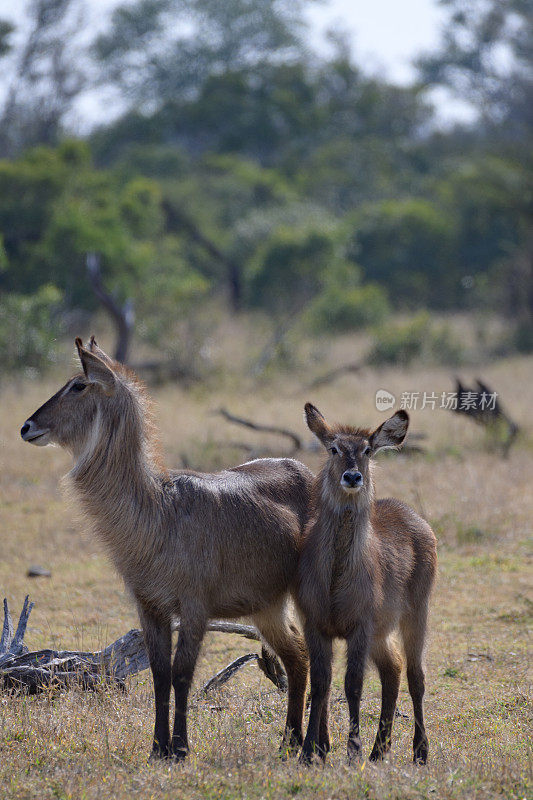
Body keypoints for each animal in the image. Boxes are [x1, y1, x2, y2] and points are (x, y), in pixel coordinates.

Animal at [19, 338, 312, 764]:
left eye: (78, 385)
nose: (26, 426)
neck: (159, 509)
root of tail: (302, 468)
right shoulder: (149, 606)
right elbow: (159, 674)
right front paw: (157, 748)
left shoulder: (194, 607)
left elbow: (182, 674)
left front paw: (181, 747)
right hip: (266, 605)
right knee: (297, 657)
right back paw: (288, 743)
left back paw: (303, 744)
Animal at [296, 404, 436, 764]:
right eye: (334, 448)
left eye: (367, 450)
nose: (352, 477)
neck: (335, 577)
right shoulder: (315, 624)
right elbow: (321, 683)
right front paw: (312, 750)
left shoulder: (360, 625)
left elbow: (353, 685)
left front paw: (352, 750)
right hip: (381, 631)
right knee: (393, 669)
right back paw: (379, 749)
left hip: (416, 613)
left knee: (415, 675)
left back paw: (419, 751)